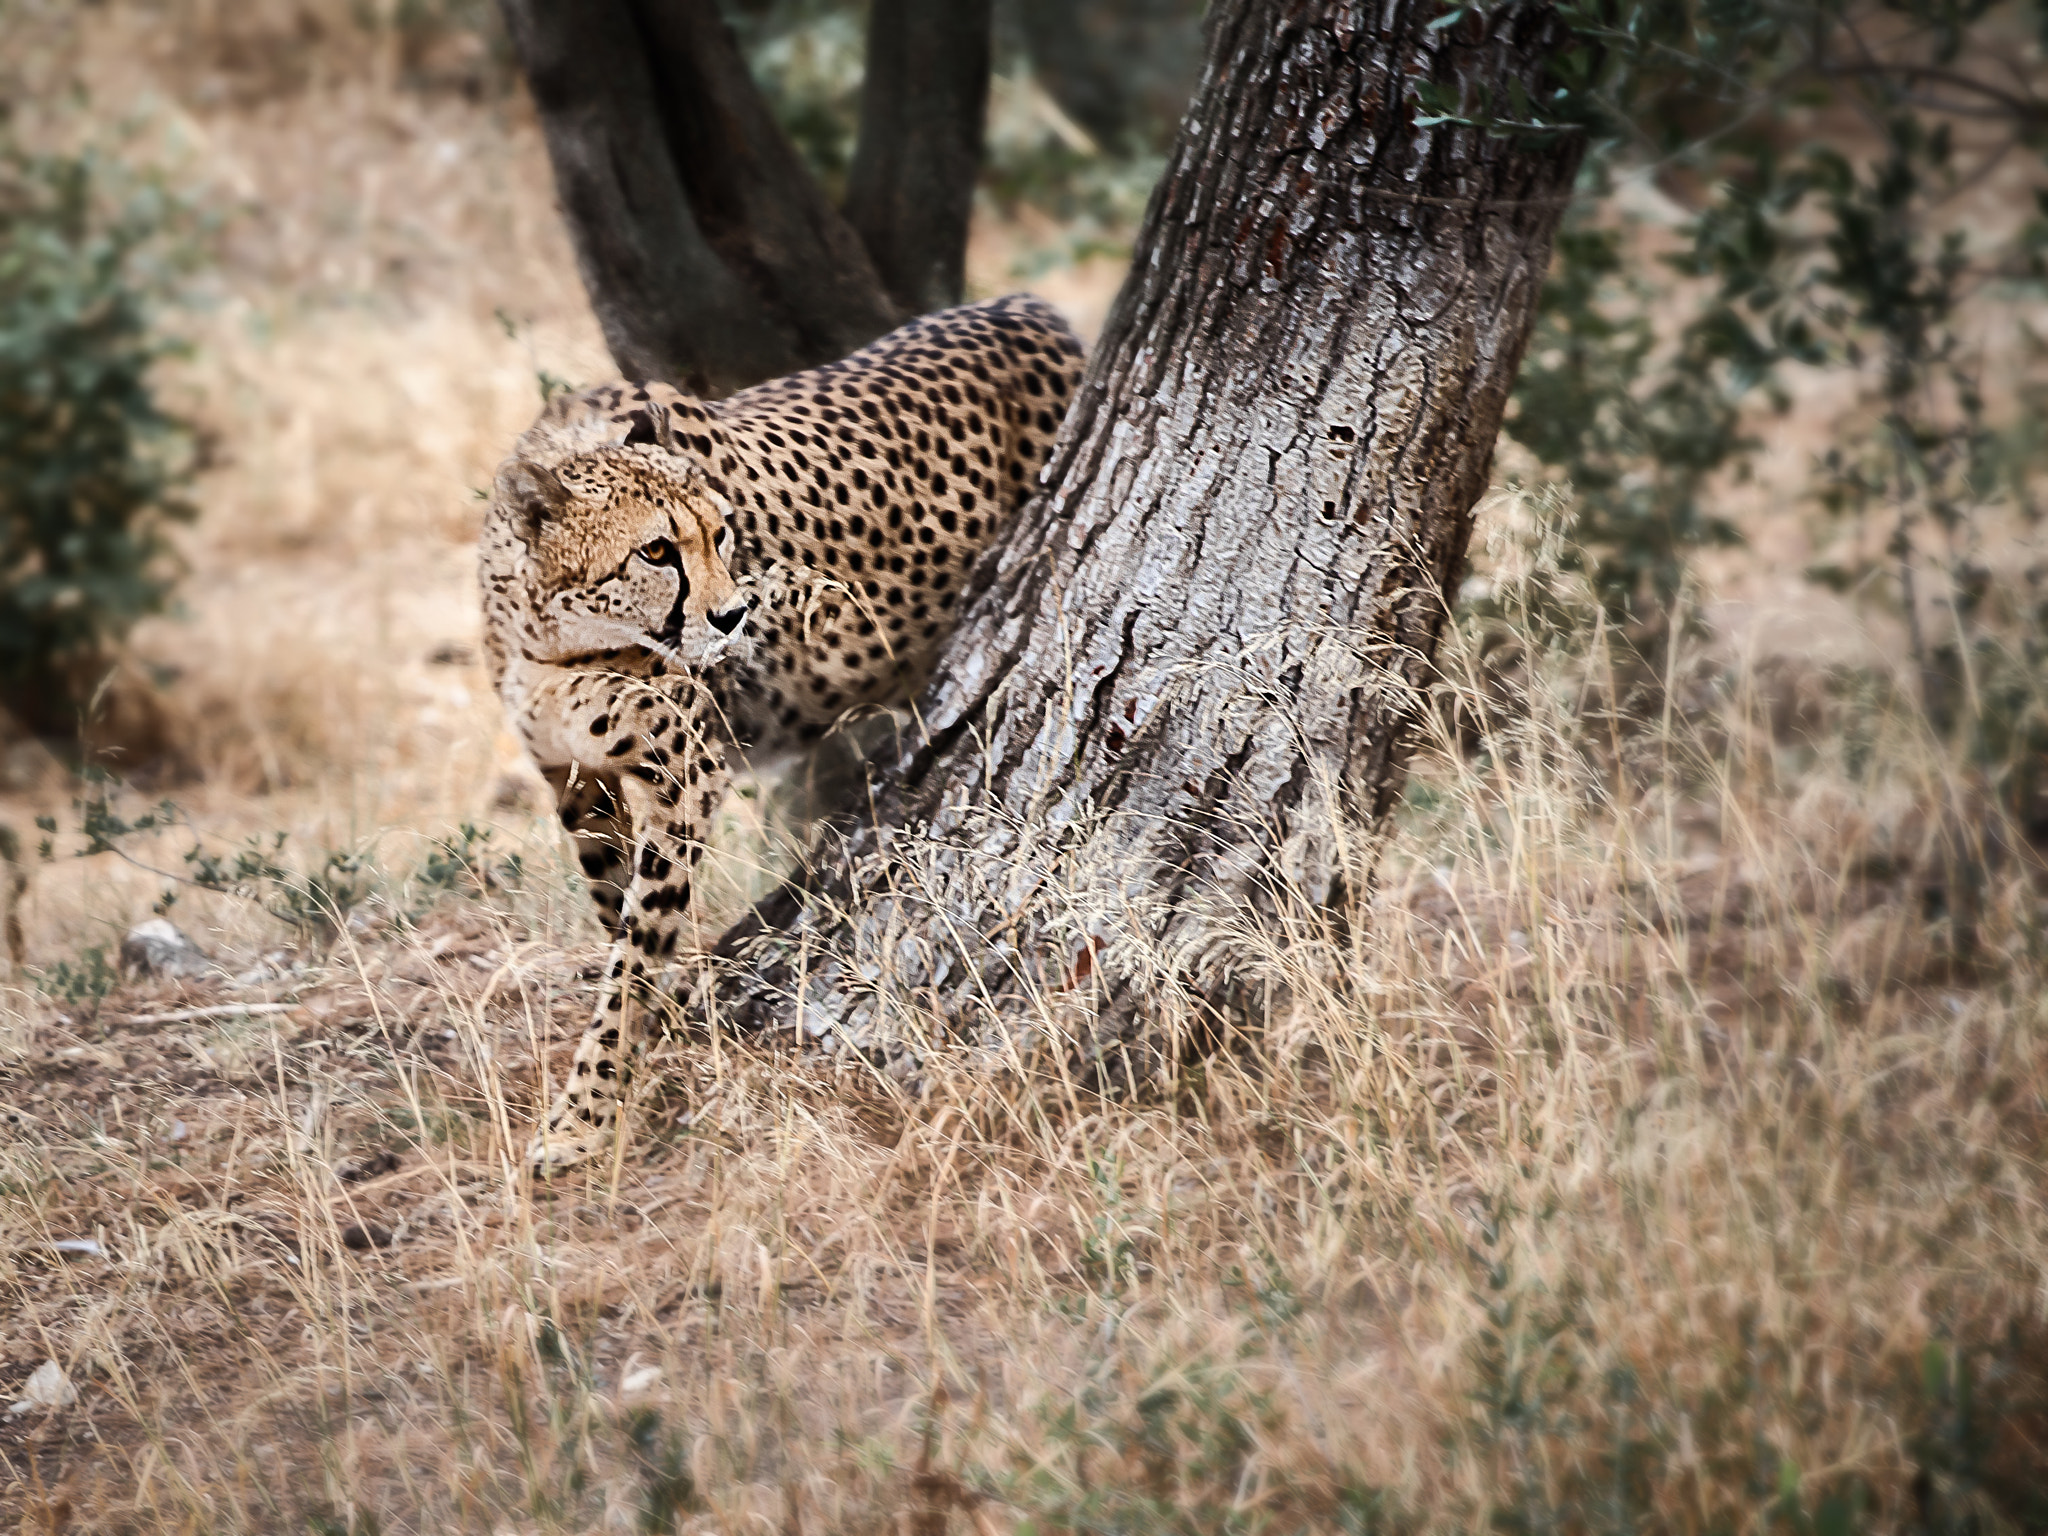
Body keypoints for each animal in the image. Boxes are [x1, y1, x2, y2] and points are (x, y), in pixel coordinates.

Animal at [479, 294, 1089, 1171]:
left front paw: (585, 1119)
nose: (735, 615)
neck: (557, 638)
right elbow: (617, 915)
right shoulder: (577, 783)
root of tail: (1024, 305)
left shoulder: (686, 774)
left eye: (720, 534)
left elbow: (635, 951)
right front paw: (653, 1033)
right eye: (656, 550)